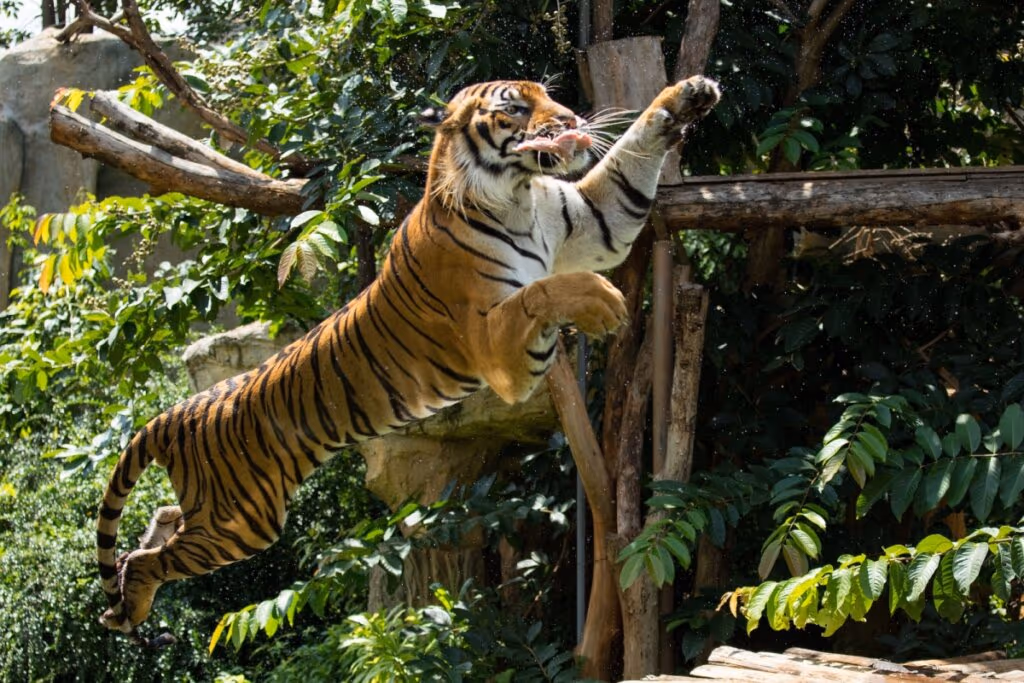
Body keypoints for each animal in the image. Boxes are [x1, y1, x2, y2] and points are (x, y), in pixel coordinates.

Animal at [97, 75, 721, 646]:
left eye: (548, 96)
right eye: (516, 108)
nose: (570, 119)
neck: (518, 194)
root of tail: (175, 413)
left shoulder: (594, 220)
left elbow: (629, 158)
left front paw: (688, 95)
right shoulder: (496, 348)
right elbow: (541, 290)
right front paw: (601, 302)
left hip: (216, 515)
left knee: (156, 527)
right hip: (241, 521)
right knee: (146, 560)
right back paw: (131, 605)